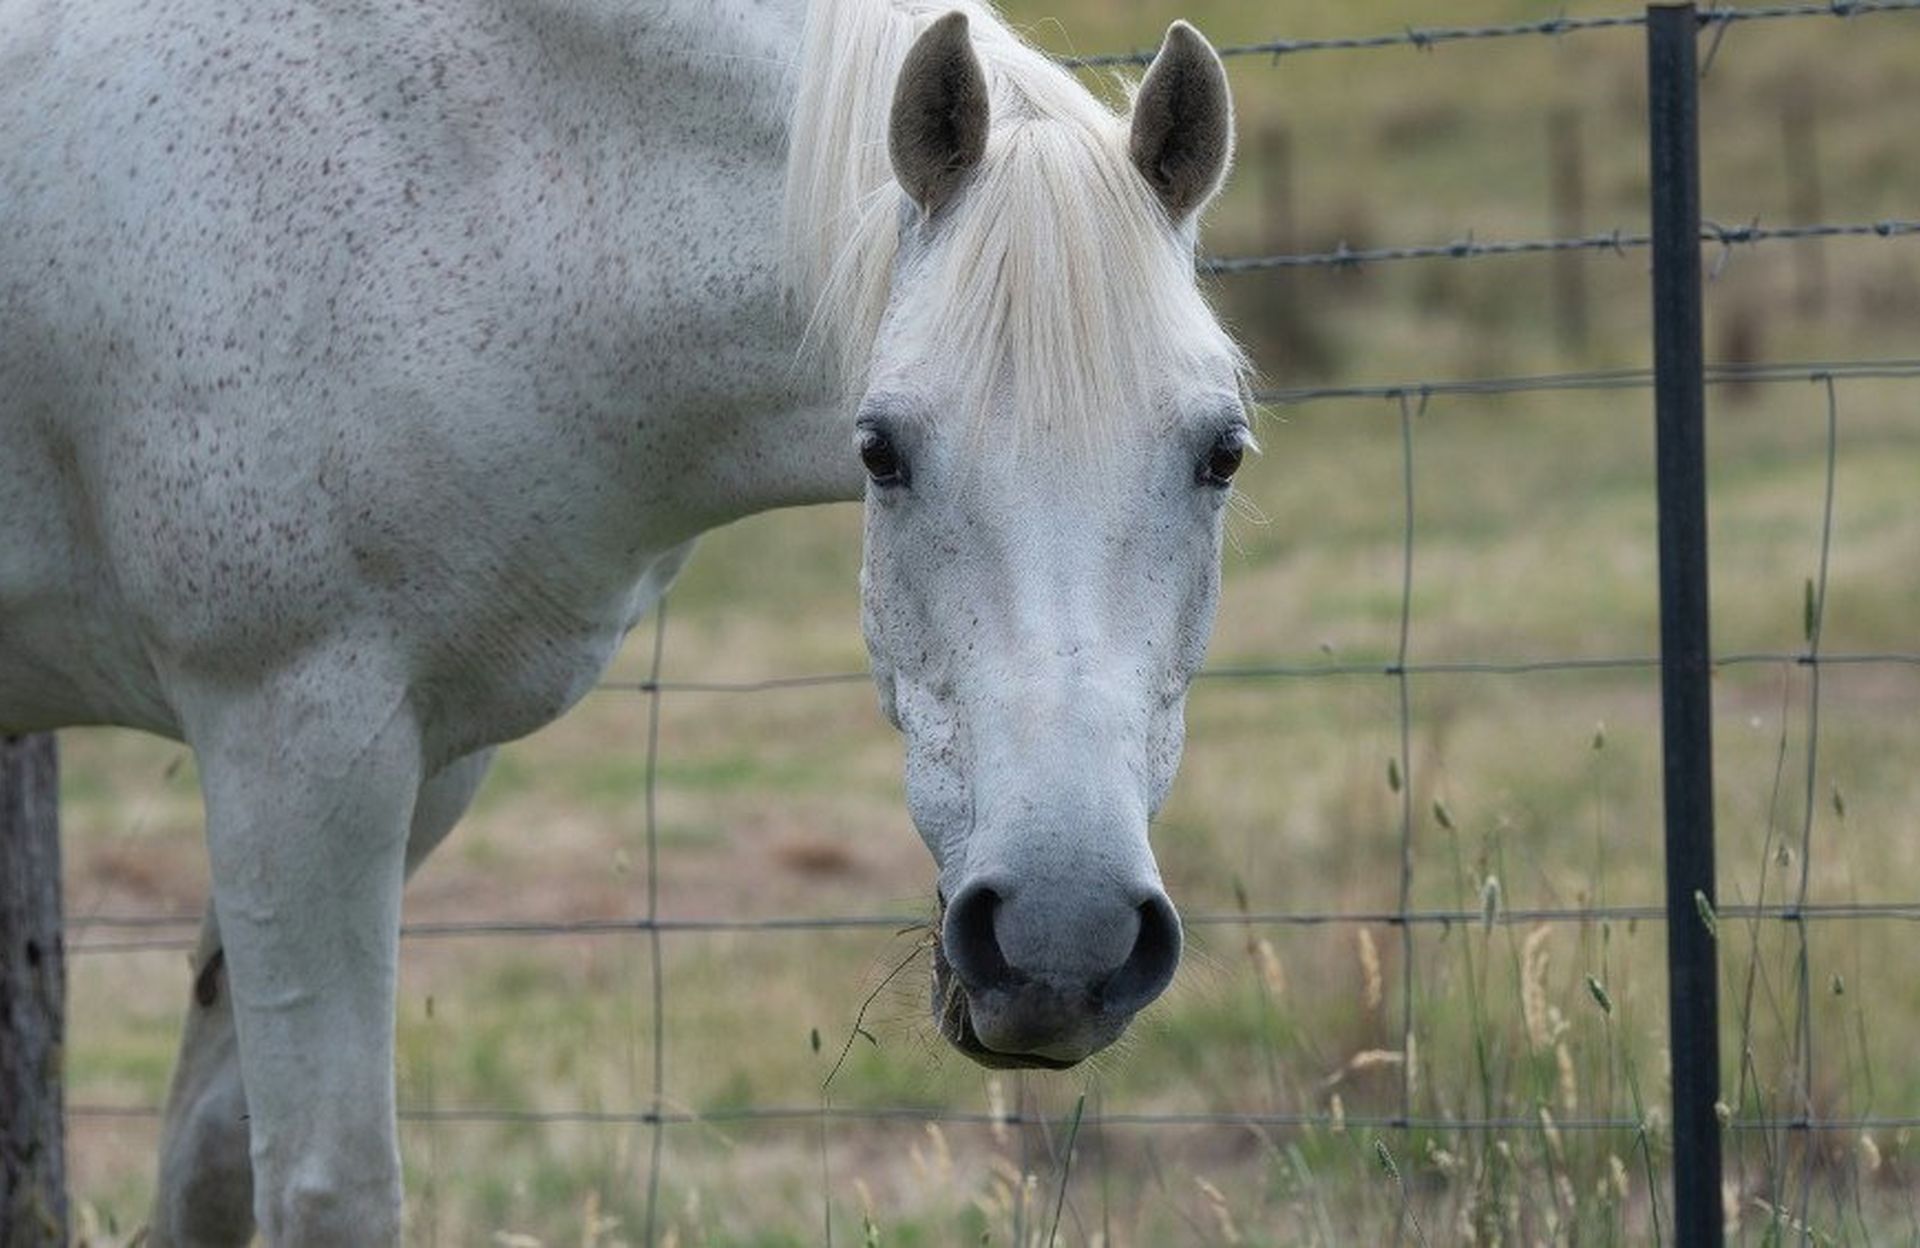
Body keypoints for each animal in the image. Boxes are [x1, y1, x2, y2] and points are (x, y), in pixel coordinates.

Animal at [0, 0, 1244, 1236]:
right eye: (881, 452)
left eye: (1223, 454)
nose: (1062, 936)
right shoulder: (288, 741)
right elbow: (327, 1180)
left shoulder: (416, 766)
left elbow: (211, 1158)